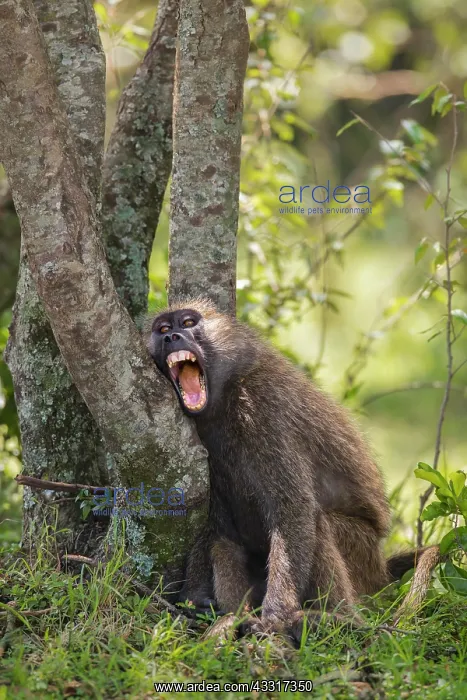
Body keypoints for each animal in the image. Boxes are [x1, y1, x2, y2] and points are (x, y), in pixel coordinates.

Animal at [148, 299, 431, 637]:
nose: (171, 337)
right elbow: (214, 521)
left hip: (362, 555)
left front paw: (276, 614)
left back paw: (337, 619)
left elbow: (292, 506)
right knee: (223, 544)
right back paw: (235, 618)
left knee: (318, 523)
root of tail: (382, 571)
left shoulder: (265, 410)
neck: (227, 393)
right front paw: (195, 597)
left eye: (188, 323)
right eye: (163, 328)